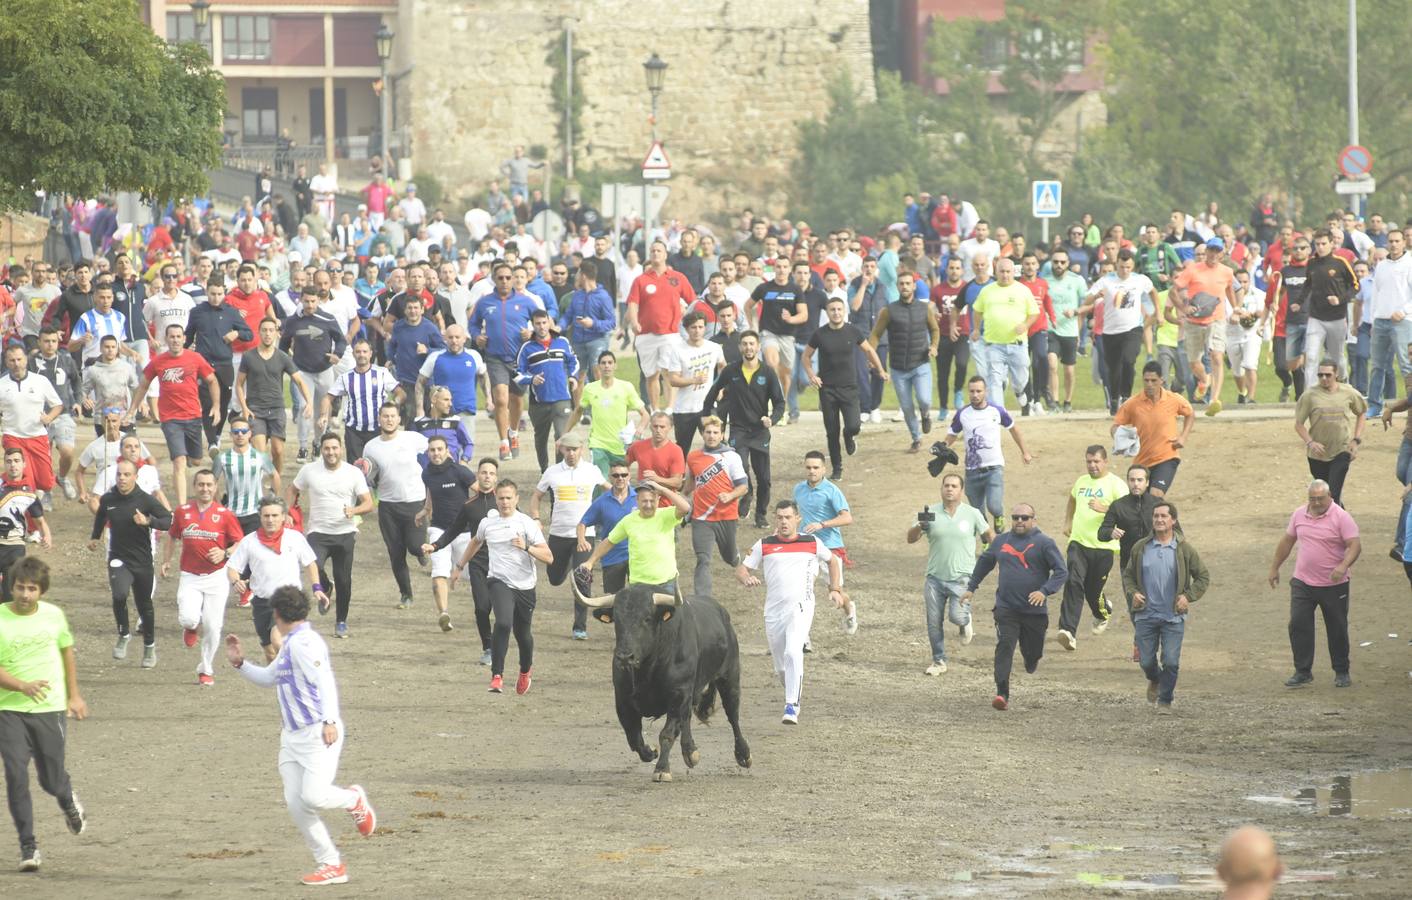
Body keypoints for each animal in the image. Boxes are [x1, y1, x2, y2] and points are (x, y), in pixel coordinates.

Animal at [573, 582, 751, 779]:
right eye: (617, 620)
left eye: (647, 618)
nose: (625, 657)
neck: (647, 671)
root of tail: (722, 614)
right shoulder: (622, 700)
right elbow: (633, 737)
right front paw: (651, 752)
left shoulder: (678, 695)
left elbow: (667, 734)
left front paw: (662, 769)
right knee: (687, 717)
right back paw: (690, 752)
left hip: (729, 677)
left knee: (732, 715)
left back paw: (743, 755)